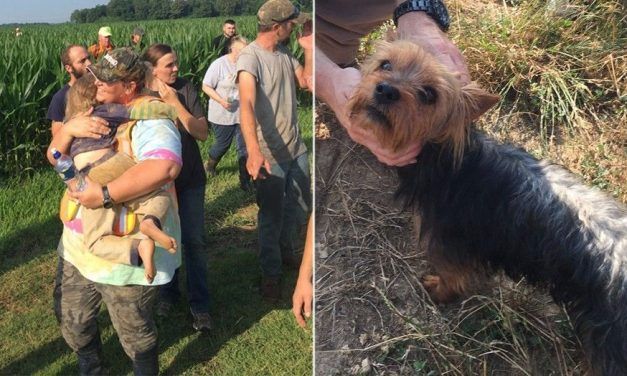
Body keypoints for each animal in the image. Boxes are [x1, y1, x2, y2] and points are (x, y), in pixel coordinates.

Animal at [348, 36, 627, 374]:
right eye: (385, 64)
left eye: (429, 95)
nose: (386, 90)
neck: (444, 159)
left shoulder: (449, 244)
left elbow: (451, 277)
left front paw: (438, 291)